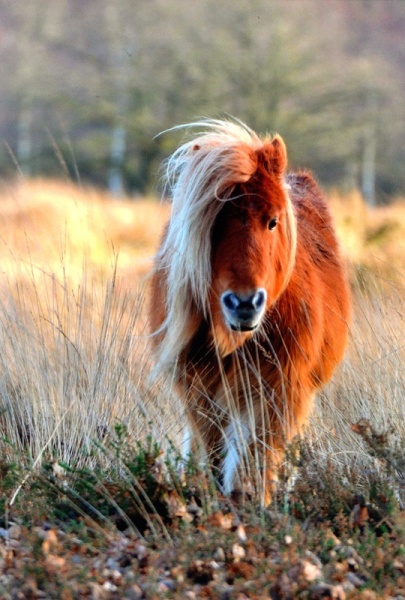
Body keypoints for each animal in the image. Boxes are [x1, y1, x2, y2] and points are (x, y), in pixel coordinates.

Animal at [150, 118, 348, 506]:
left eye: (272, 221)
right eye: (212, 225)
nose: (243, 303)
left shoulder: (280, 389)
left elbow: (258, 458)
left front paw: (254, 504)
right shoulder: (199, 389)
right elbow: (211, 452)